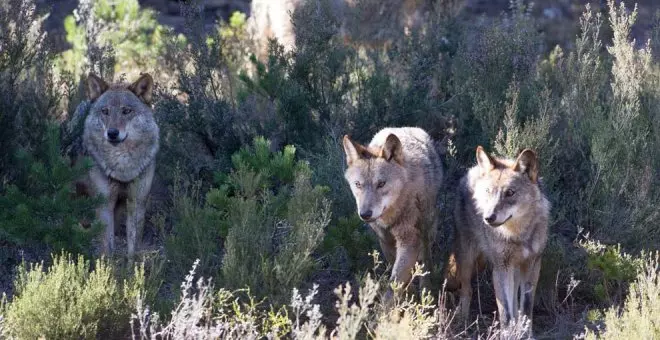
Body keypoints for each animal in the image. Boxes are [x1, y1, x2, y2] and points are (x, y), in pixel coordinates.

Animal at [78, 72, 158, 258]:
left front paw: (133, 267)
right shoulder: (104, 205)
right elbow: (107, 249)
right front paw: (106, 267)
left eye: (126, 111)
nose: (112, 133)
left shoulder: (137, 203)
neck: (123, 168)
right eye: (105, 111)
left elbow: (133, 249)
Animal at [340, 127, 444, 292]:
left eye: (381, 184)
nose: (365, 214)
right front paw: (408, 292)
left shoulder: (409, 239)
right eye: (358, 184)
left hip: (426, 228)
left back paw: (426, 288)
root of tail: (406, 128)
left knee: (425, 259)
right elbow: (396, 273)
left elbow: (395, 282)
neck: (390, 216)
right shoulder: (385, 240)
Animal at [448, 145, 552, 330]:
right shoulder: (501, 269)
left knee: (515, 302)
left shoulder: (532, 266)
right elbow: (506, 313)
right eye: (489, 192)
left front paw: (525, 332)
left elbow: (525, 309)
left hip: (514, 269)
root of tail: (473, 170)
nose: (488, 217)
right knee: (467, 291)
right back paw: (463, 321)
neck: (518, 235)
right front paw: (508, 332)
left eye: (510, 193)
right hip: (467, 259)